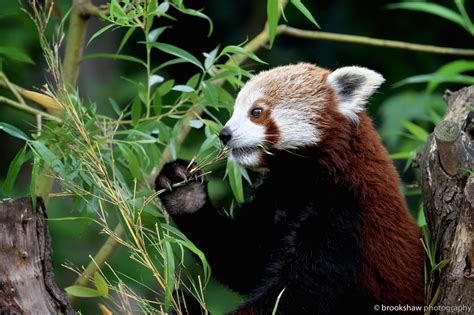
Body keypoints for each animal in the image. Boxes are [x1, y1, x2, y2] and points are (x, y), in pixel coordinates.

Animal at [156, 63, 426, 314]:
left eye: (256, 111)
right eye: (234, 111)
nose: (224, 134)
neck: (301, 180)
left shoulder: (344, 213)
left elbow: (296, 296)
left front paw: (189, 306)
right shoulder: (275, 196)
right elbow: (243, 258)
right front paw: (184, 189)